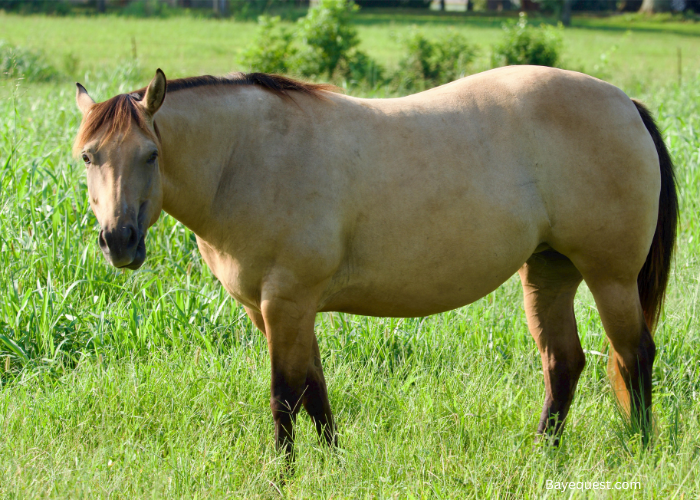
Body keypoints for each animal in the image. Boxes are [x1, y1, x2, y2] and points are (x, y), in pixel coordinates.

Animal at [74, 65, 676, 458]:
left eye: (151, 154)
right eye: (88, 157)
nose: (119, 241)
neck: (249, 159)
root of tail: (625, 103)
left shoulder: (285, 301)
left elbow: (284, 395)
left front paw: (283, 474)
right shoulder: (276, 310)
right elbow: (313, 390)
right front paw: (334, 462)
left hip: (610, 277)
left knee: (634, 355)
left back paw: (642, 447)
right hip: (548, 273)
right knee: (564, 363)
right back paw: (541, 452)